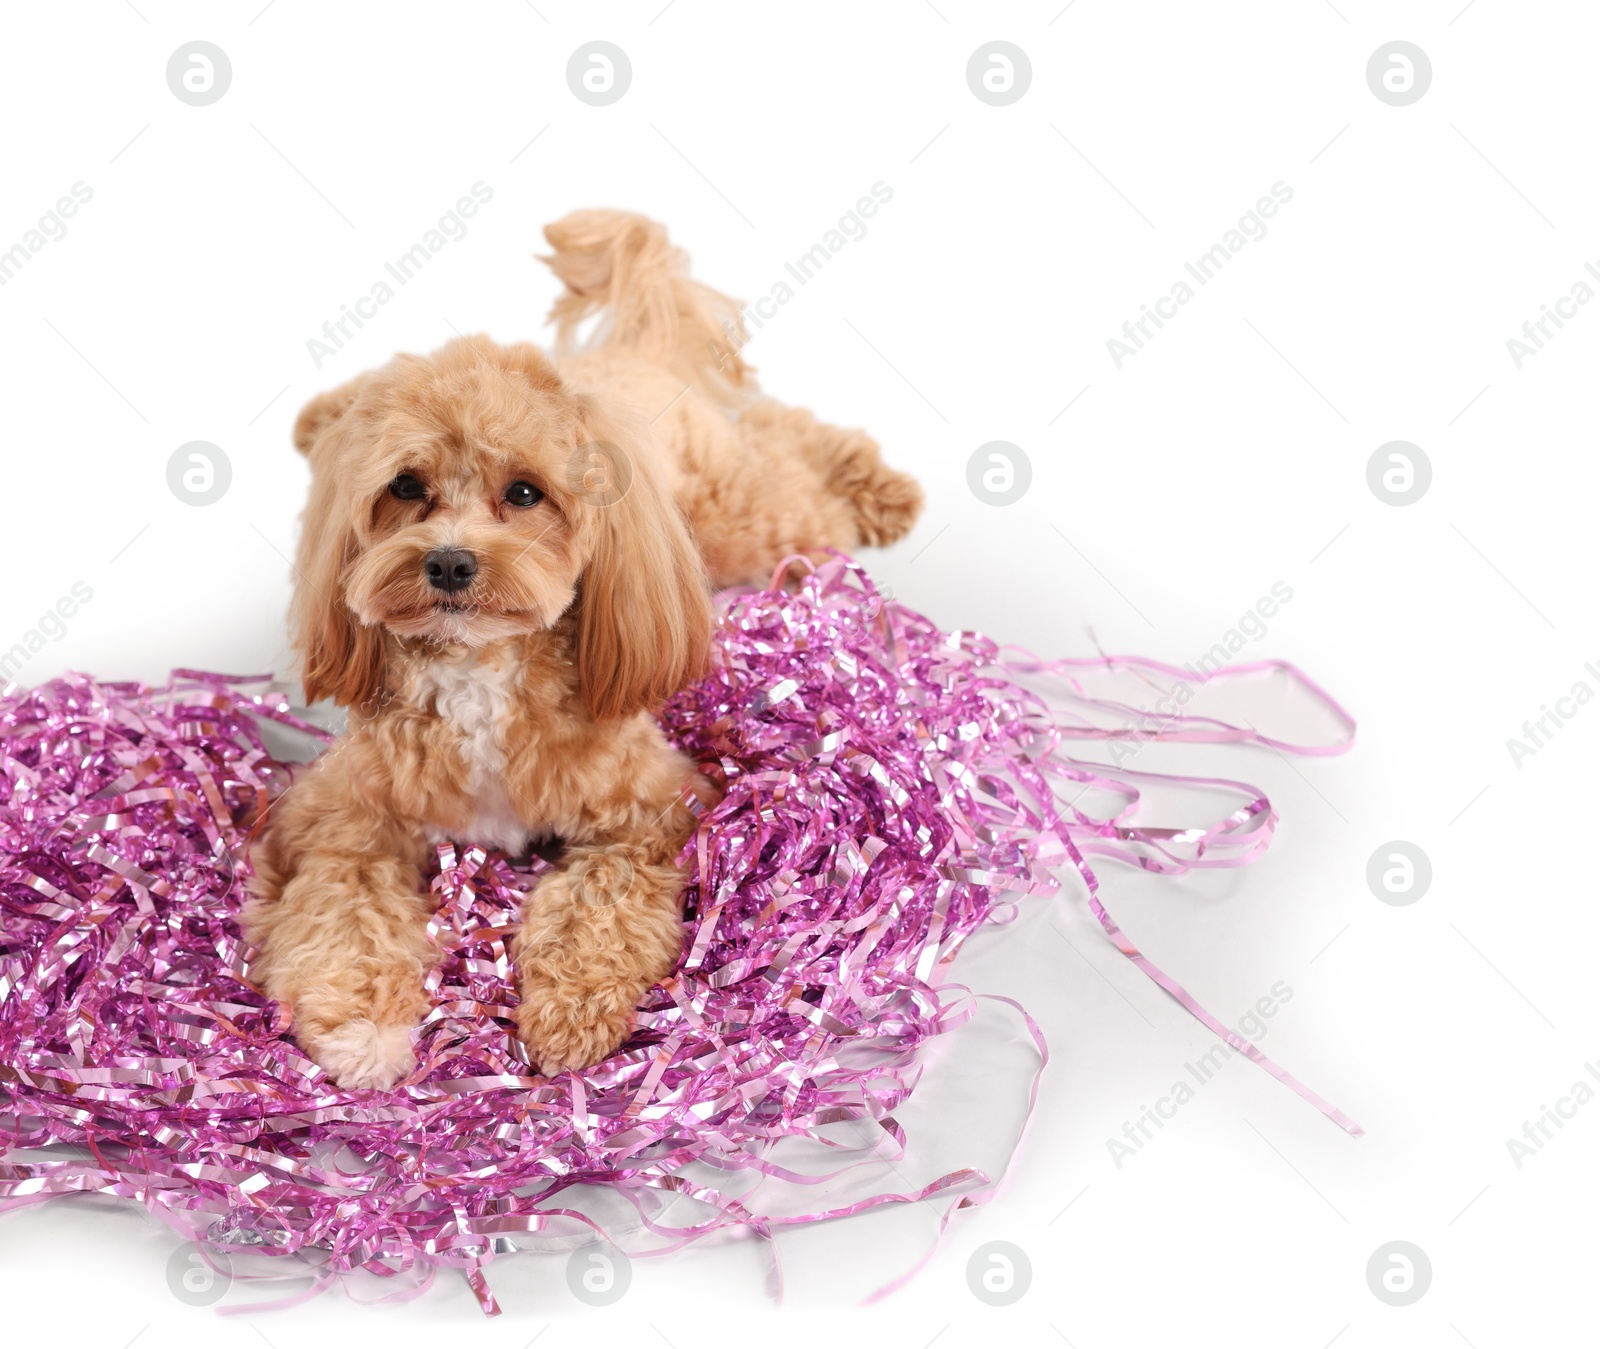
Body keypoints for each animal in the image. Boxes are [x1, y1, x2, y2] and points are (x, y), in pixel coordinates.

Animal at [246, 214, 928, 1094]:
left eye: (525, 492)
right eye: (405, 486)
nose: (450, 563)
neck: (480, 671)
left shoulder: (653, 810)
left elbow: (595, 902)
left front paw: (570, 1014)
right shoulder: (340, 819)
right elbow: (343, 911)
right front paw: (362, 1028)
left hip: (745, 521)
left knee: (785, 444)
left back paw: (880, 488)